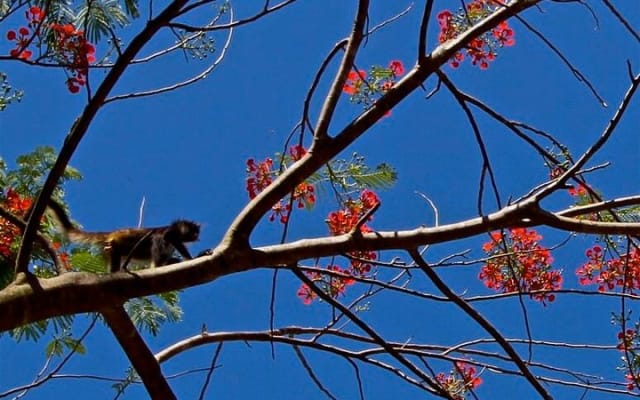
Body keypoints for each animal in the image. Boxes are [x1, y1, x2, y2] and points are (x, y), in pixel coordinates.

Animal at [46, 201, 200, 273]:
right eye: (194, 231)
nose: (197, 237)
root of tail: (112, 234)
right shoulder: (170, 231)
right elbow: (166, 237)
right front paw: (192, 259)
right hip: (118, 243)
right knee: (156, 239)